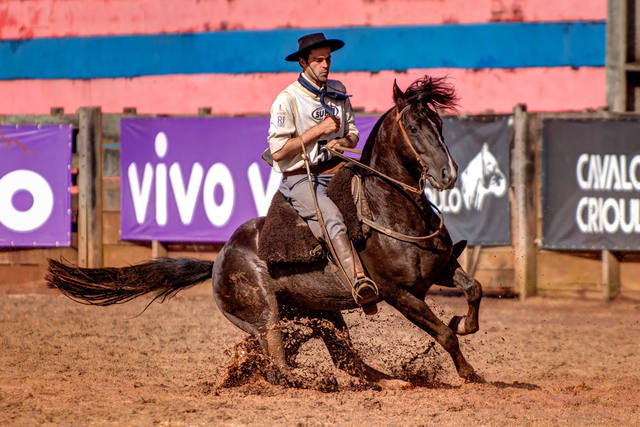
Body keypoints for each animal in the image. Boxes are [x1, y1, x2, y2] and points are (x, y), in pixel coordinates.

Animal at [47, 77, 482, 388]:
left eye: (439, 123)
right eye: (413, 125)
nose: (448, 174)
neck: (390, 209)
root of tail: (218, 259)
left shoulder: (442, 269)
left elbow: (473, 290)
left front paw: (466, 324)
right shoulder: (398, 293)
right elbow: (443, 334)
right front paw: (469, 372)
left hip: (318, 314)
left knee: (342, 359)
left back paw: (388, 381)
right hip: (268, 315)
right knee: (279, 364)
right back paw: (312, 380)